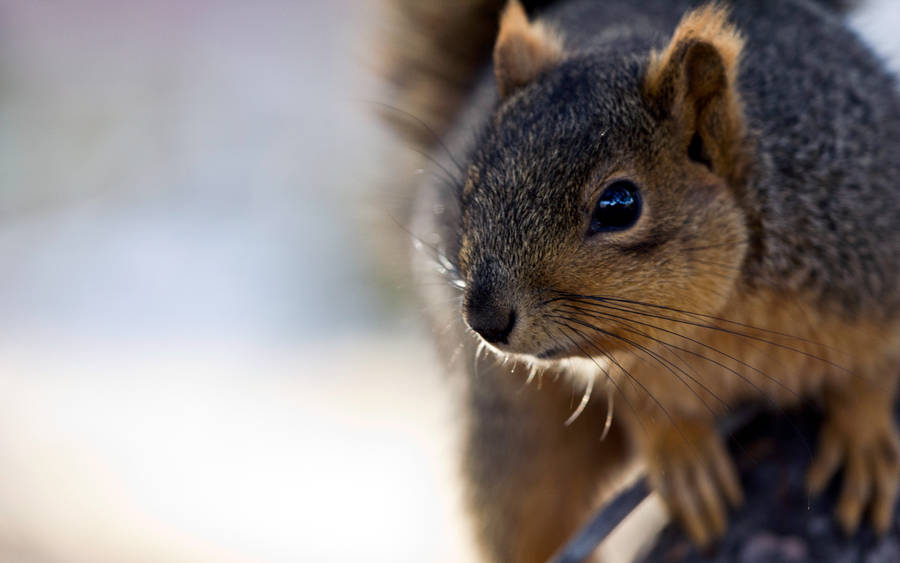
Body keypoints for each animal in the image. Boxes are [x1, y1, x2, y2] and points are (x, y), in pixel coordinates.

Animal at [378, 2, 900, 560]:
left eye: (619, 204)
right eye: (470, 189)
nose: (485, 320)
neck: (720, 321)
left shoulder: (869, 255)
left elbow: (875, 367)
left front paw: (864, 433)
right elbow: (640, 405)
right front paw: (680, 451)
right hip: (516, 430)